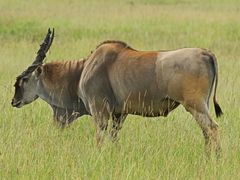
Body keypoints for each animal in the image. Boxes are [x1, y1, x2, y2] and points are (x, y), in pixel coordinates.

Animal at [12, 29, 222, 156]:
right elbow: (114, 138)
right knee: (206, 131)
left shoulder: (100, 112)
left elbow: (99, 138)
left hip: (195, 105)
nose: (14, 101)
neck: (81, 71)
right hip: (200, 106)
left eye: (24, 79)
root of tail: (205, 52)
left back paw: (214, 159)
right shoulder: (119, 114)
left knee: (212, 128)